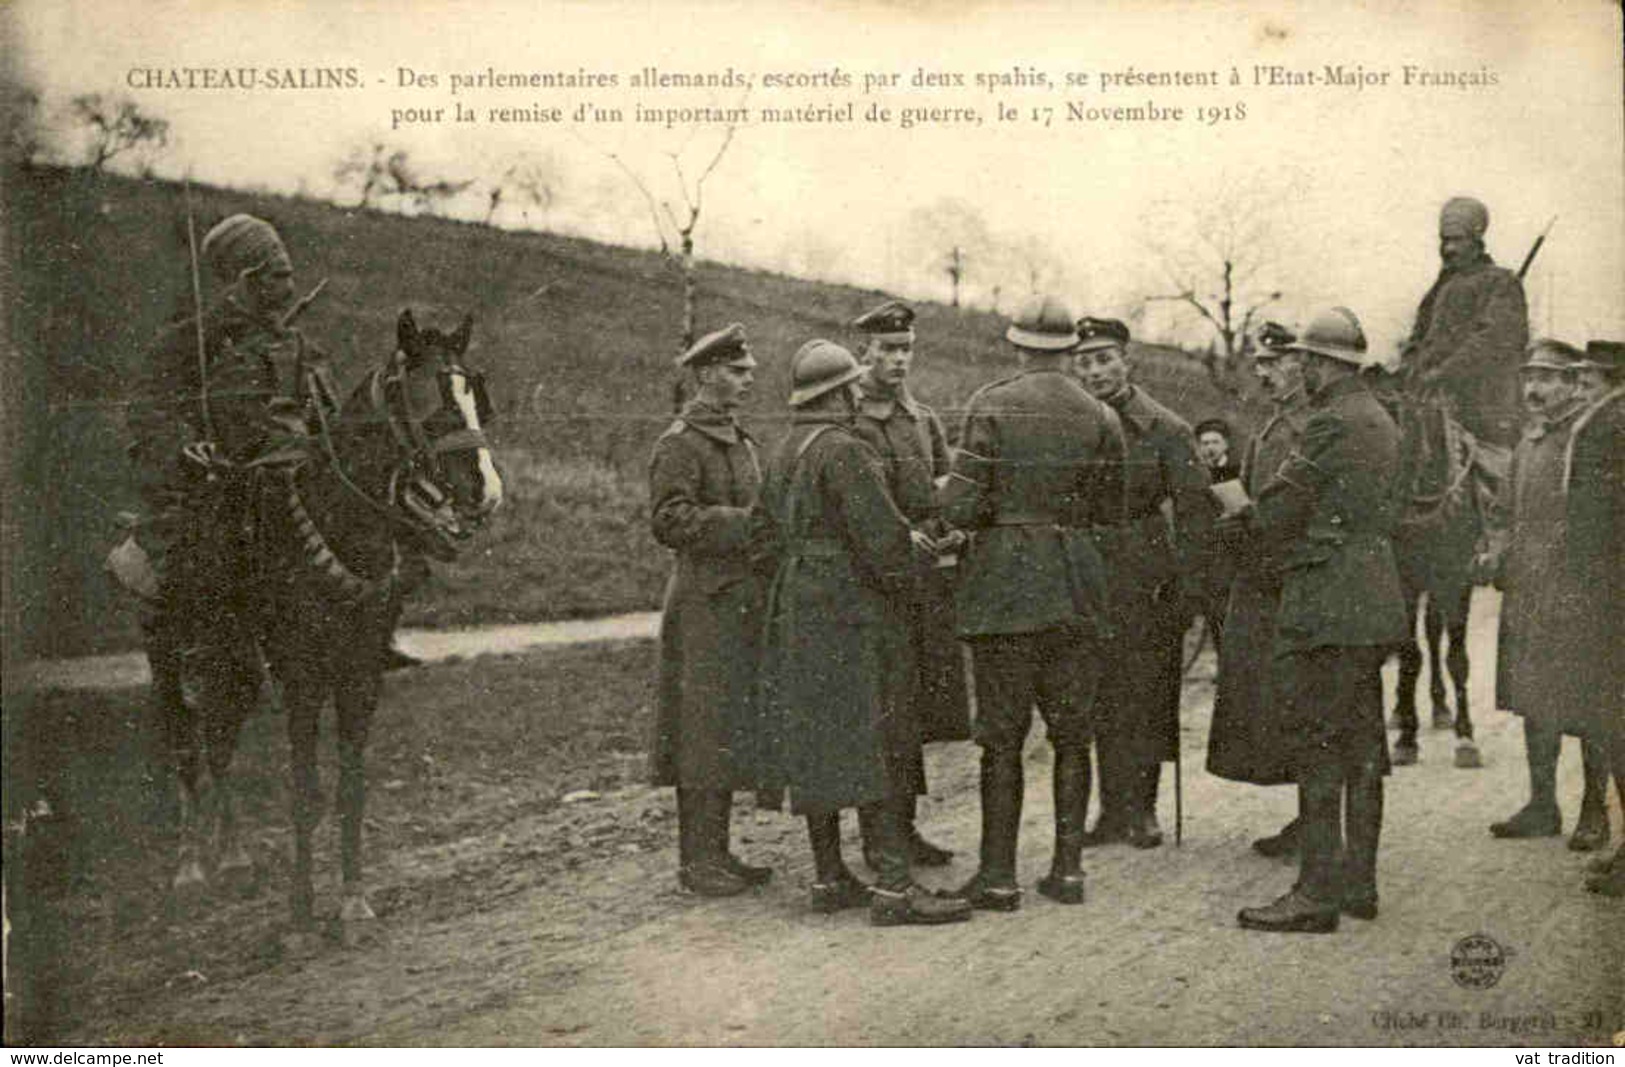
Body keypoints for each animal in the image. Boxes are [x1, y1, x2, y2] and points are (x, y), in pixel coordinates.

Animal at [146, 305, 500, 935]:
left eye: (474, 394)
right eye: (425, 397)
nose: (486, 492)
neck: (339, 521)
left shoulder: (361, 672)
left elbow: (351, 786)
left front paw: (354, 903)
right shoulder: (303, 676)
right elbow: (306, 791)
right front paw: (300, 915)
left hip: (235, 668)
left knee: (219, 745)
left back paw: (233, 855)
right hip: (172, 657)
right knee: (187, 746)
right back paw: (190, 865)